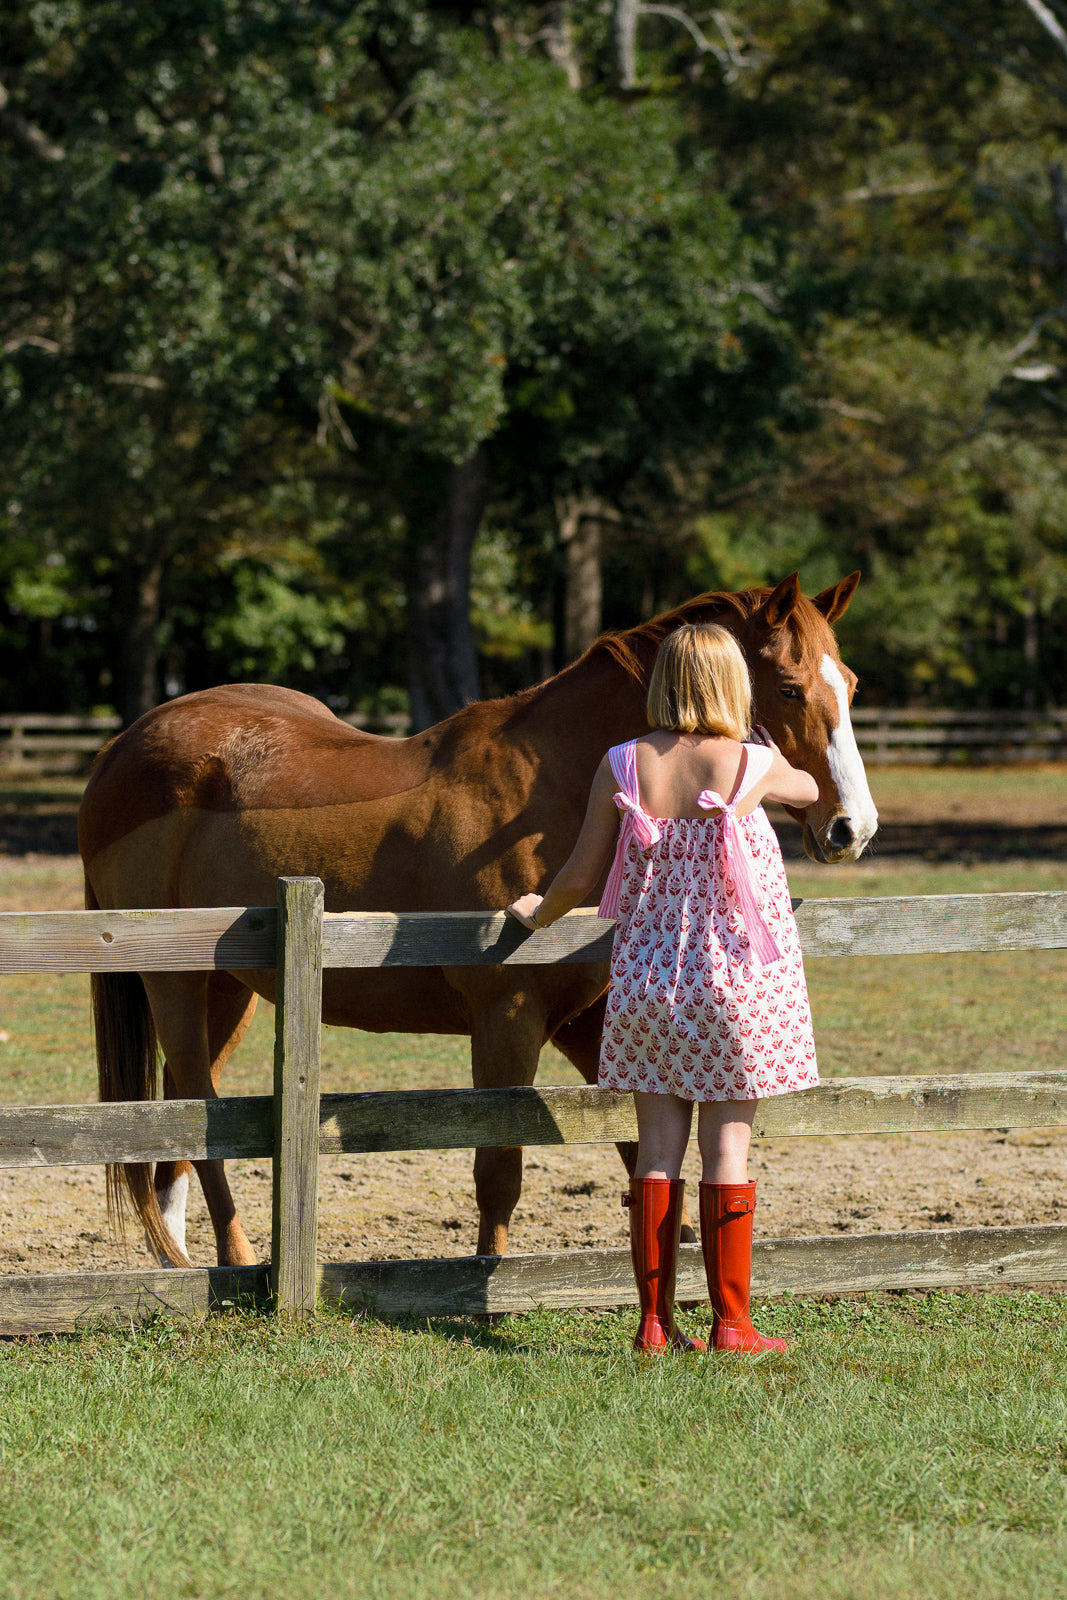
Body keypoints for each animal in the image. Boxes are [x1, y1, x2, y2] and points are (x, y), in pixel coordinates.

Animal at [75, 569, 876, 1267]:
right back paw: (235, 1259)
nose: (852, 827)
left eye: (851, 685)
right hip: (172, 983)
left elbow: (639, 1156)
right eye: (789, 687)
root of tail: (121, 748)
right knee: (198, 1108)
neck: (556, 793)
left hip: (228, 990)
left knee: (179, 1117)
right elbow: (499, 1172)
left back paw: (180, 1258)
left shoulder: (584, 1020)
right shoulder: (507, 1018)